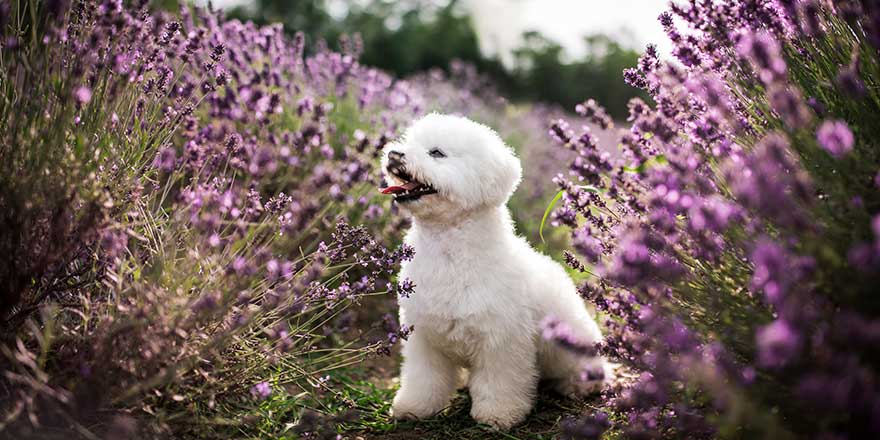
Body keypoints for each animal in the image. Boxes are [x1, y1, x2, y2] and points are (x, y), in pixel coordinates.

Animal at [378, 112, 612, 430]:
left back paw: (582, 383)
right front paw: (415, 408)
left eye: (436, 153)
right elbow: (423, 378)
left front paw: (498, 415)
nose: (394, 154)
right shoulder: (423, 337)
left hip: (570, 345)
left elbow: (499, 382)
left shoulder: (501, 340)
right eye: (406, 141)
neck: (449, 250)